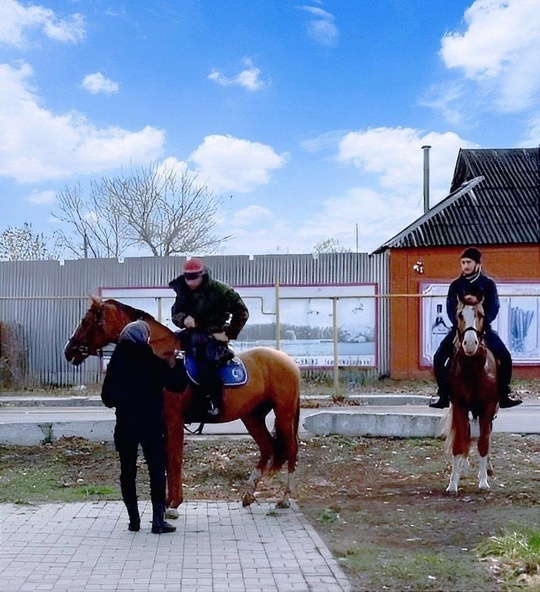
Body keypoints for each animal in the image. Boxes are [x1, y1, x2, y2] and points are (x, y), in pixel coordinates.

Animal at [65, 298, 302, 516]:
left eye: (86, 321)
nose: (69, 350)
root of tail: (288, 361)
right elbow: (166, 460)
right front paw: (169, 502)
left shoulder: (173, 419)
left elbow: (174, 458)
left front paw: (172, 505)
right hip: (252, 416)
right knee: (268, 448)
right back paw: (249, 494)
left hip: (284, 413)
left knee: (290, 449)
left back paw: (284, 499)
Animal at [446, 294, 500, 492]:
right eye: (460, 315)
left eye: (481, 314)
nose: (470, 344)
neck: (473, 370)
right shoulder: (459, 406)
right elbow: (459, 443)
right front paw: (453, 483)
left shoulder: (488, 408)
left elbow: (483, 442)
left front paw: (483, 481)